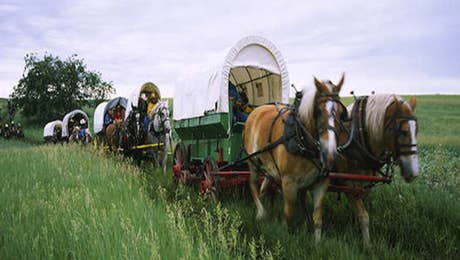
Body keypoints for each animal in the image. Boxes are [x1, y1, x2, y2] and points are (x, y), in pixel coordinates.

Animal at [244, 75, 344, 242]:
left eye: (342, 113)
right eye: (317, 111)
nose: (330, 155)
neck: (301, 138)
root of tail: (256, 110)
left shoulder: (321, 182)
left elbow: (318, 217)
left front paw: (317, 242)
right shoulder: (288, 182)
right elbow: (289, 213)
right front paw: (286, 236)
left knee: (265, 183)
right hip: (253, 161)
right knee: (252, 184)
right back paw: (260, 212)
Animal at [334, 94, 420, 246]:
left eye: (417, 131)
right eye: (403, 132)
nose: (413, 173)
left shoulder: (364, 185)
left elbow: (359, 212)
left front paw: (353, 229)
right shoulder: (348, 183)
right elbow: (364, 216)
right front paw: (367, 245)